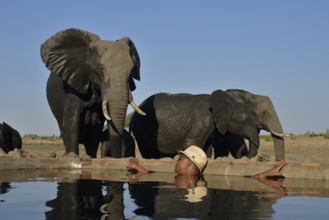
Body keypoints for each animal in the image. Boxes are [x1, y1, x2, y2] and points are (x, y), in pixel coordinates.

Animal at [40, 27, 145, 158]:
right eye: (100, 68)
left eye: (131, 71)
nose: (116, 158)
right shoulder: (72, 85)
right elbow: (72, 122)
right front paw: (73, 157)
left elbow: (97, 131)